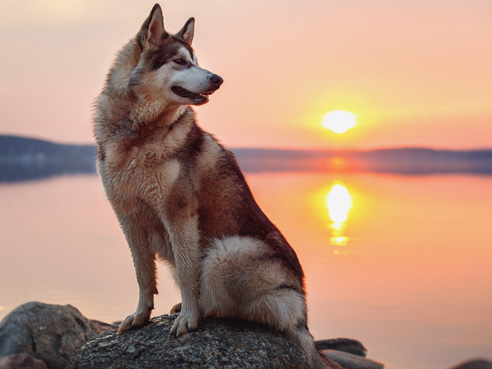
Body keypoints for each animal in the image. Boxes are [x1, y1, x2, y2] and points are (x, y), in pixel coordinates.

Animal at [94, 4, 328, 366]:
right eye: (180, 62)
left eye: (195, 60)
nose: (217, 79)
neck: (139, 133)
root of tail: (303, 319)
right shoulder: (127, 216)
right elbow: (143, 274)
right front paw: (141, 316)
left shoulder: (179, 214)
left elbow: (188, 272)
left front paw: (189, 318)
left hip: (226, 253)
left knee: (240, 306)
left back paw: (206, 309)